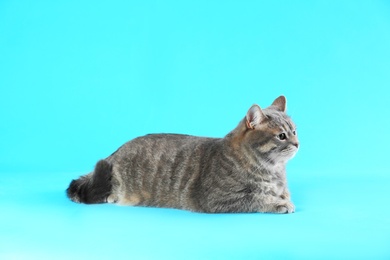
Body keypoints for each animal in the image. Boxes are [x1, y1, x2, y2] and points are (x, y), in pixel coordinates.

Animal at [67, 95, 298, 213]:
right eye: (281, 136)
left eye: (295, 131)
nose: (297, 144)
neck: (273, 170)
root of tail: (114, 153)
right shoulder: (221, 198)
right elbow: (257, 198)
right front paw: (279, 203)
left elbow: (281, 192)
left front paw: (283, 195)